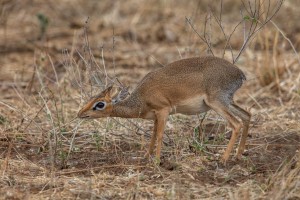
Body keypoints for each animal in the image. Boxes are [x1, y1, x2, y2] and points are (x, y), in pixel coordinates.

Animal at [77, 56, 251, 162]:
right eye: (90, 99)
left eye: (100, 104)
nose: (80, 114)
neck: (141, 98)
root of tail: (240, 74)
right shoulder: (155, 117)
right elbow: (153, 136)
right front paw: (146, 156)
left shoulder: (163, 111)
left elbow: (160, 135)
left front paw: (156, 161)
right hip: (227, 101)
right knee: (247, 115)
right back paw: (238, 155)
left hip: (216, 103)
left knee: (236, 124)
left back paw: (223, 159)